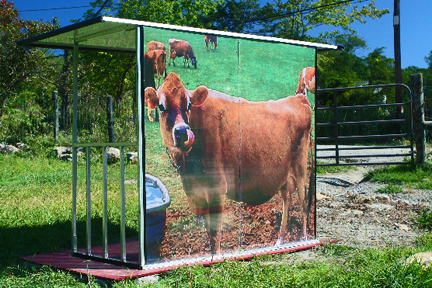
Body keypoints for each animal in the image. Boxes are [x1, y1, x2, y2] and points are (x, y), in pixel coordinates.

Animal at [144, 72, 310, 254]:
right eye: (161, 106)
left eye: (188, 104)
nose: (182, 131)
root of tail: (299, 99)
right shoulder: (197, 192)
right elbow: (209, 233)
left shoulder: (217, 188)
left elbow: (215, 234)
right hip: (285, 173)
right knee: (287, 198)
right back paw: (280, 240)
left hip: (300, 167)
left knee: (303, 201)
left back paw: (304, 238)